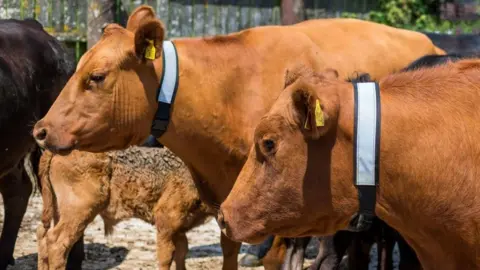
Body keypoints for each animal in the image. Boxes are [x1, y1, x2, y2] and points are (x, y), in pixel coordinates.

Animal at [37, 147, 219, 268]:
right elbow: (167, 256)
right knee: (57, 243)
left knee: (43, 235)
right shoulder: (166, 221)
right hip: (79, 211)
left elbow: (181, 254)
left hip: (58, 210)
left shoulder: (180, 229)